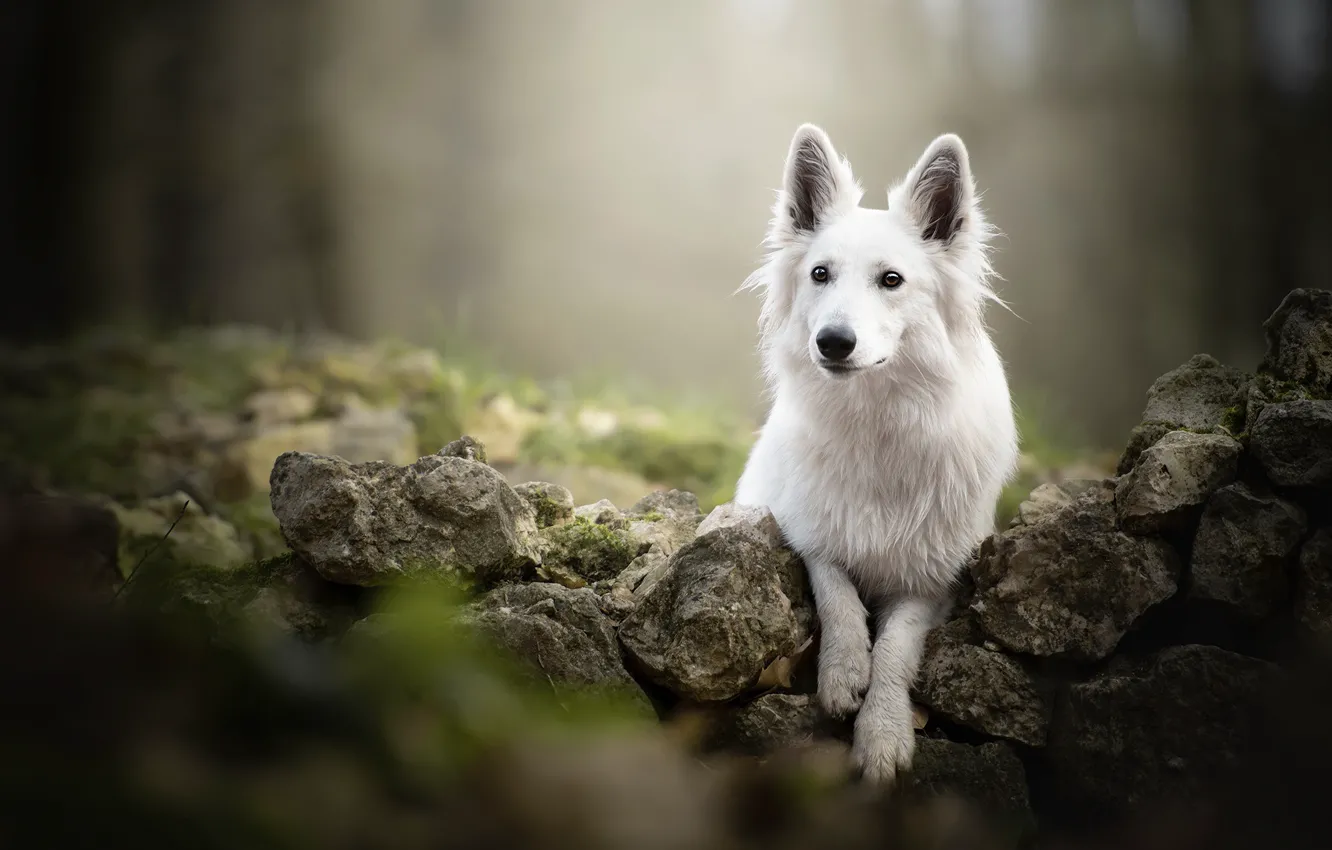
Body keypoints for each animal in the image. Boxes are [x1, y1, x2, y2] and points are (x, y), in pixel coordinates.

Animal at [735, 125, 1012, 788]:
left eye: (891, 280)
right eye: (819, 273)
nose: (833, 342)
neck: (876, 422)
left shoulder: (933, 581)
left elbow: (896, 646)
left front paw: (883, 732)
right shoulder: (807, 532)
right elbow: (836, 591)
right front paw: (842, 673)